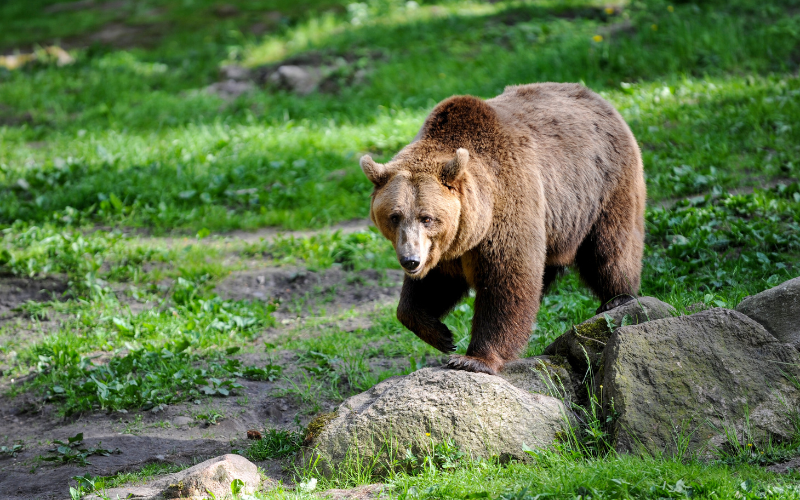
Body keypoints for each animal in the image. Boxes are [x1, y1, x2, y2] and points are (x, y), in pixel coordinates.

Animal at [360, 82, 648, 374]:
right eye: (394, 216)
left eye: (426, 217)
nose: (410, 260)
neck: (475, 225)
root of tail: (598, 98)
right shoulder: (445, 248)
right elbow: (429, 288)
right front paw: (442, 335)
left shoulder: (507, 206)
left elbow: (507, 280)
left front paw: (473, 359)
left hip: (604, 187)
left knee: (609, 248)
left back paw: (618, 298)